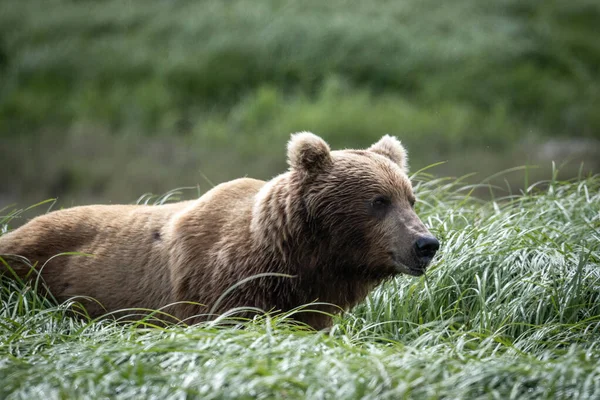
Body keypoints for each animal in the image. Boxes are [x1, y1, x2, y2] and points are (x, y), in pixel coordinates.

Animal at [1, 133, 440, 330]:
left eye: (410, 198)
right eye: (378, 201)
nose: (426, 243)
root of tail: (17, 229)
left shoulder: (306, 302)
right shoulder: (222, 289)